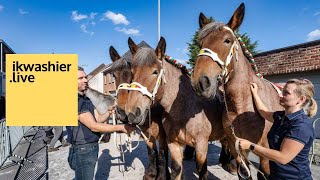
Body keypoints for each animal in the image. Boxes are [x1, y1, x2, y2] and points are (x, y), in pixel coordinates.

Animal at [105, 46, 170, 180]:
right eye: (114, 75)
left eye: (131, 76)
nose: (122, 111)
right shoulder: (146, 132)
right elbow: (151, 152)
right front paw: (151, 174)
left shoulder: (162, 134)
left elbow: (162, 155)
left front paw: (164, 175)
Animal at [124, 37, 226, 179]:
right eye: (132, 73)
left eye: (155, 72)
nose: (132, 112)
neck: (184, 111)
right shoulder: (173, 144)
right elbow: (176, 169)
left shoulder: (202, 146)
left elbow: (202, 172)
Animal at [190, 2, 282, 179]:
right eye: (200, 44)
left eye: (227, 40)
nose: (201, 82)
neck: (244, 106)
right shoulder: (238, 148)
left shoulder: (265, 155)